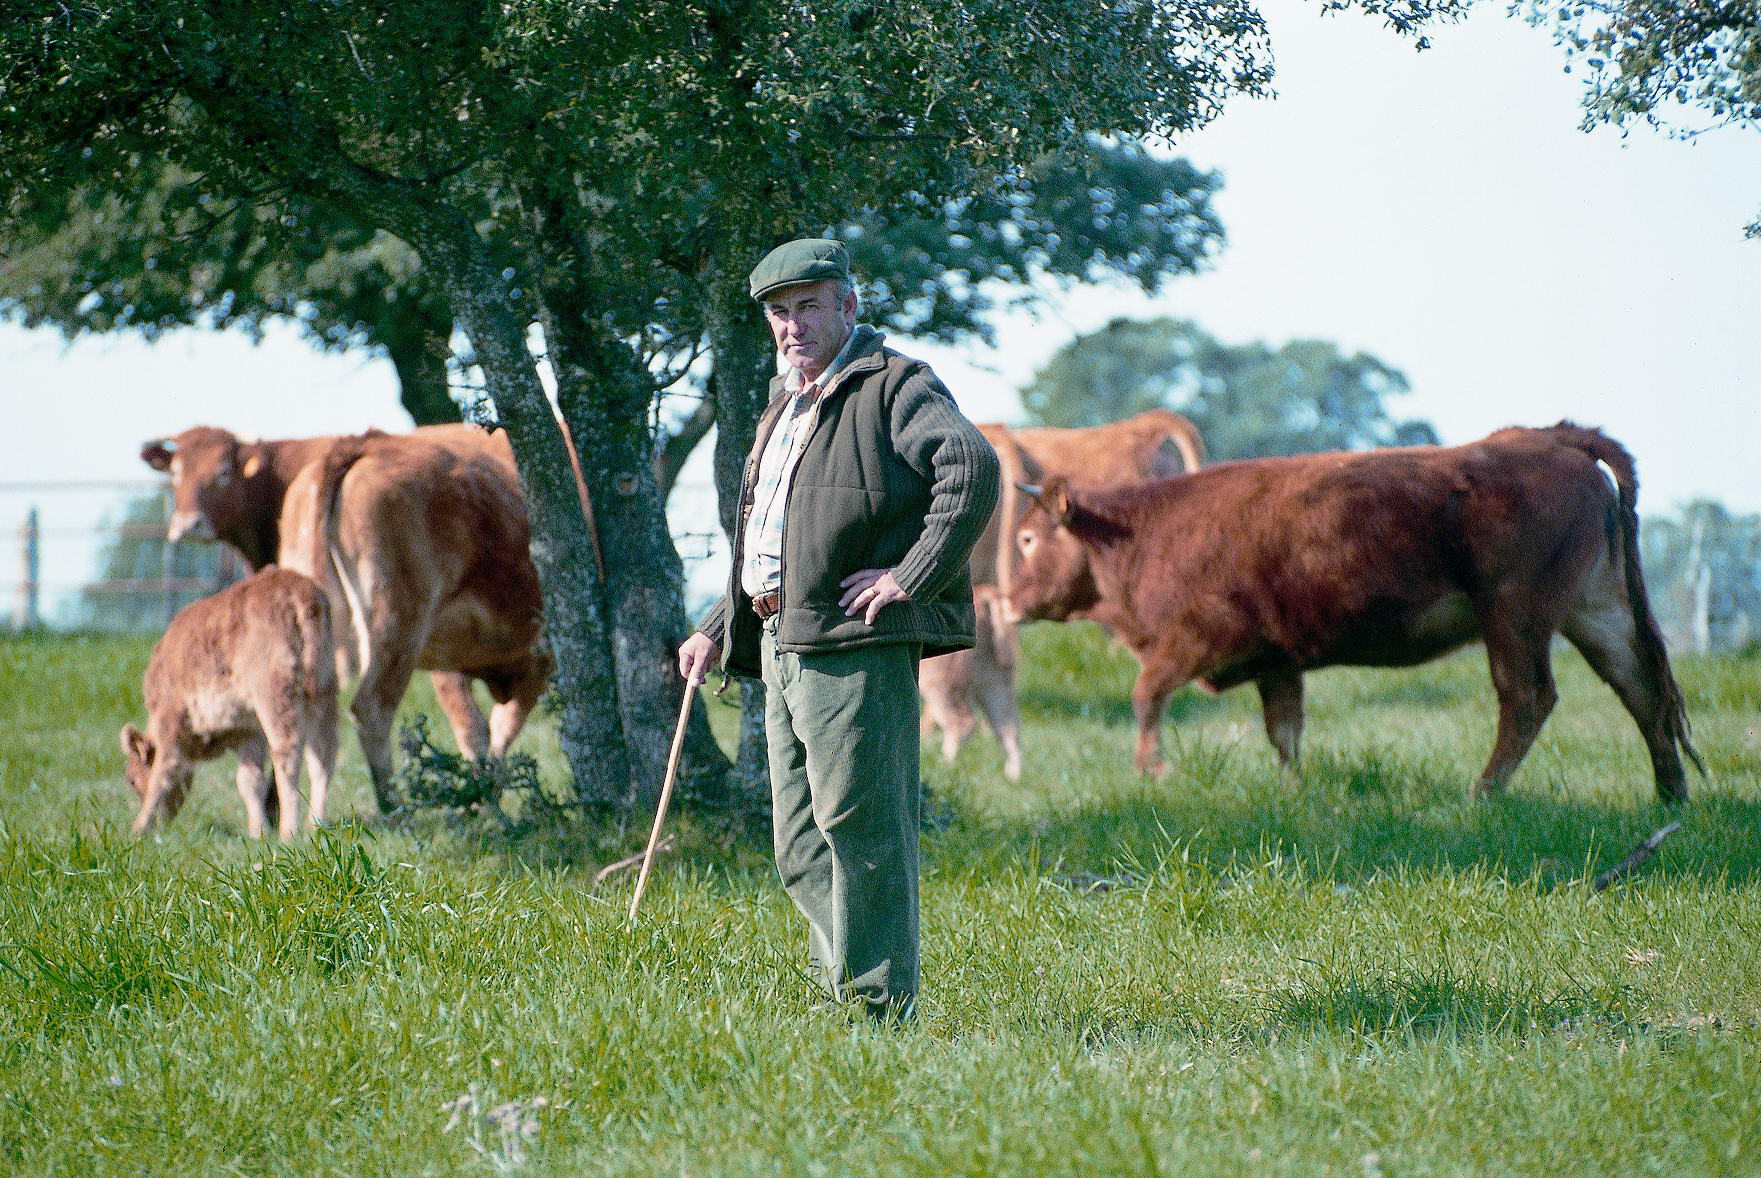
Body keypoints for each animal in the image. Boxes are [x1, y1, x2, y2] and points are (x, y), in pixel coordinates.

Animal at [121, 566, 339, 834]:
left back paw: (289, 831)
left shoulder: (171, 720)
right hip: (324, 692)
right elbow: (249, 780)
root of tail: (299, 593)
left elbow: (164, 772)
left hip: (275, 696)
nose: (166, 823)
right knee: (323, 754)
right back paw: (315, 825)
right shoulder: (249, 732)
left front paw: (138, 828)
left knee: (288, 754)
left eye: (132, 780)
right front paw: (258, 831)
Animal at [278, 429, 549, 809]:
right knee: (371, 708)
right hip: (396, 625)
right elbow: (500, 727)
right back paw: (395, 809)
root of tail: (367, 443)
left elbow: (474, 727)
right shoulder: (541, 657)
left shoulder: (451, 658)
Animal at [1007, 422, 1704, 799]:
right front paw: (1293, 790)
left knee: (1527, 697)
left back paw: (1481, 793)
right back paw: (1670, 797)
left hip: (1515, 616)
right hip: (1595, 610)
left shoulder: (1199, 641)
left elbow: (1145, 694)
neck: (1139, 531)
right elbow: (1284, 732)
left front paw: (1153, 768)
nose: (1008, 604)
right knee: (1641, 688)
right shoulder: (1276, 663)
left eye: (1029, 538)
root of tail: (1551, 437)